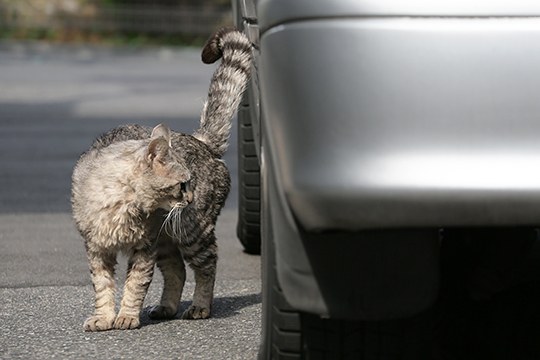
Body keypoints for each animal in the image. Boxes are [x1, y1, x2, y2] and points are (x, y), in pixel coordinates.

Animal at [70, 28, 253, 332]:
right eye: (181, 185)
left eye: (190, 183)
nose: (189, 197)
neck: (120, 205)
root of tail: (201, 141)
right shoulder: (96, 248)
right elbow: (102, 286)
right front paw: (104, 317)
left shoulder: (144, 248)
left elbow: (135, 284)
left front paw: (127, 316)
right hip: (167, 238)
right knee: (177, 268)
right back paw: (166, 307)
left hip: (191, 232)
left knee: (208, 263)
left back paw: (200, 307)